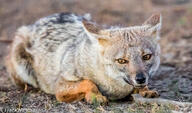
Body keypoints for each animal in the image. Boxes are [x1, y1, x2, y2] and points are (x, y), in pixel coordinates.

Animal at [5, 12, 162, 104]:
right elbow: (88, 82)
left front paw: (145, 90)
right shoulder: (60, 87)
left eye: (146, 57)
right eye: (121, 61)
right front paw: (94, 96)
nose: (140, 79)